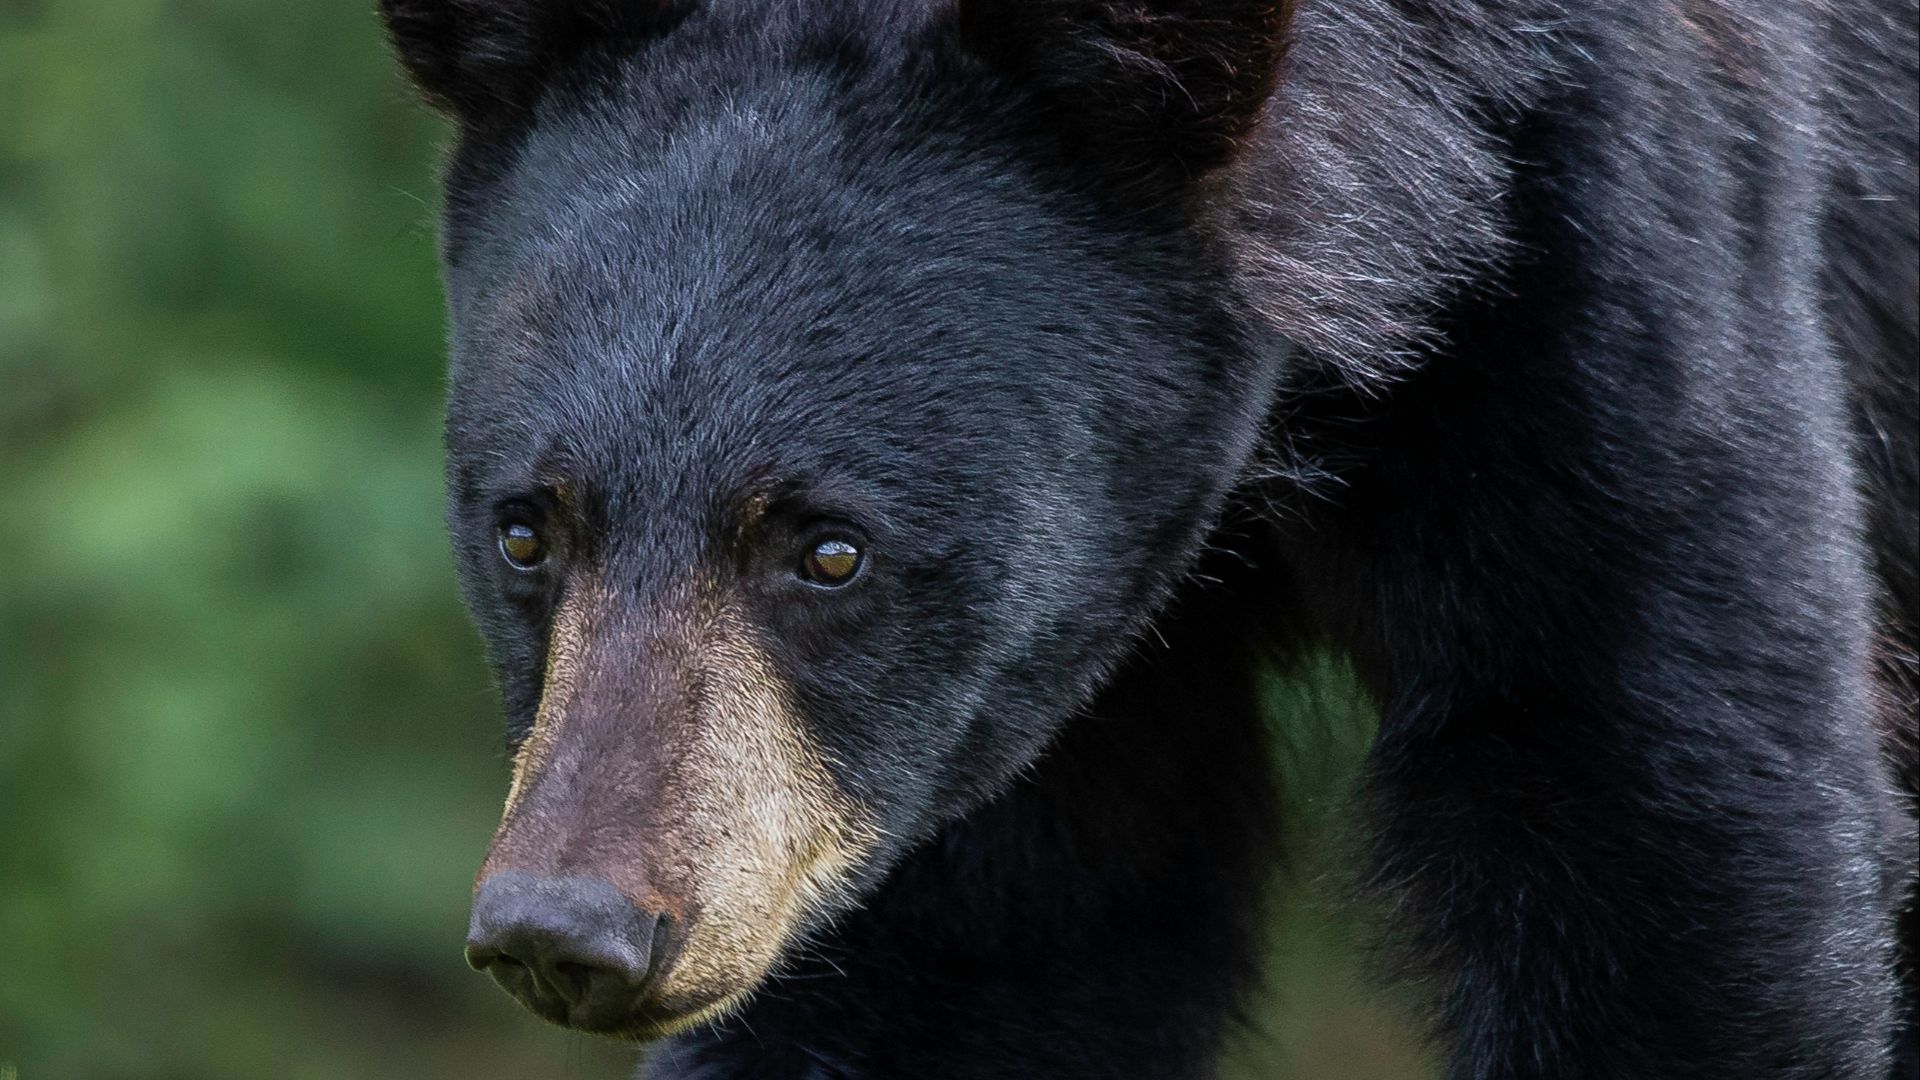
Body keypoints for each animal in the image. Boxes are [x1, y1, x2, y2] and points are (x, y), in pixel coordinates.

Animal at [378, 1, 1920, 1078]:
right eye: (525, 532)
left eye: (829, 551)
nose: (568, 931)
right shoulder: (979, 704)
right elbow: (972, 956)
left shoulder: (1614, 265)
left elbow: (1675, 833)